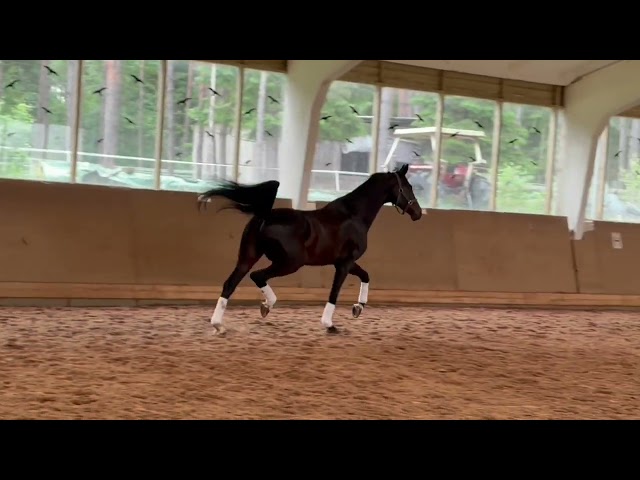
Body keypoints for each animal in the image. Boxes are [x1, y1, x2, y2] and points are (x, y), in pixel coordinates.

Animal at [197, 163, 422, 335]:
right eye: (408, 186)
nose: (418, 213)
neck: (353, 215)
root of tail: (265, 216)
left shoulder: (345, 261)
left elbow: (366, 276)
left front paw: (358, 308)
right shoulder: (344, 264)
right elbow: (334, 292)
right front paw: (330, 325)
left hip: (248, 257)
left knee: (230, 284)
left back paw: (221, 324)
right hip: (289, 263)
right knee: (257, 276)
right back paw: (265, 306)